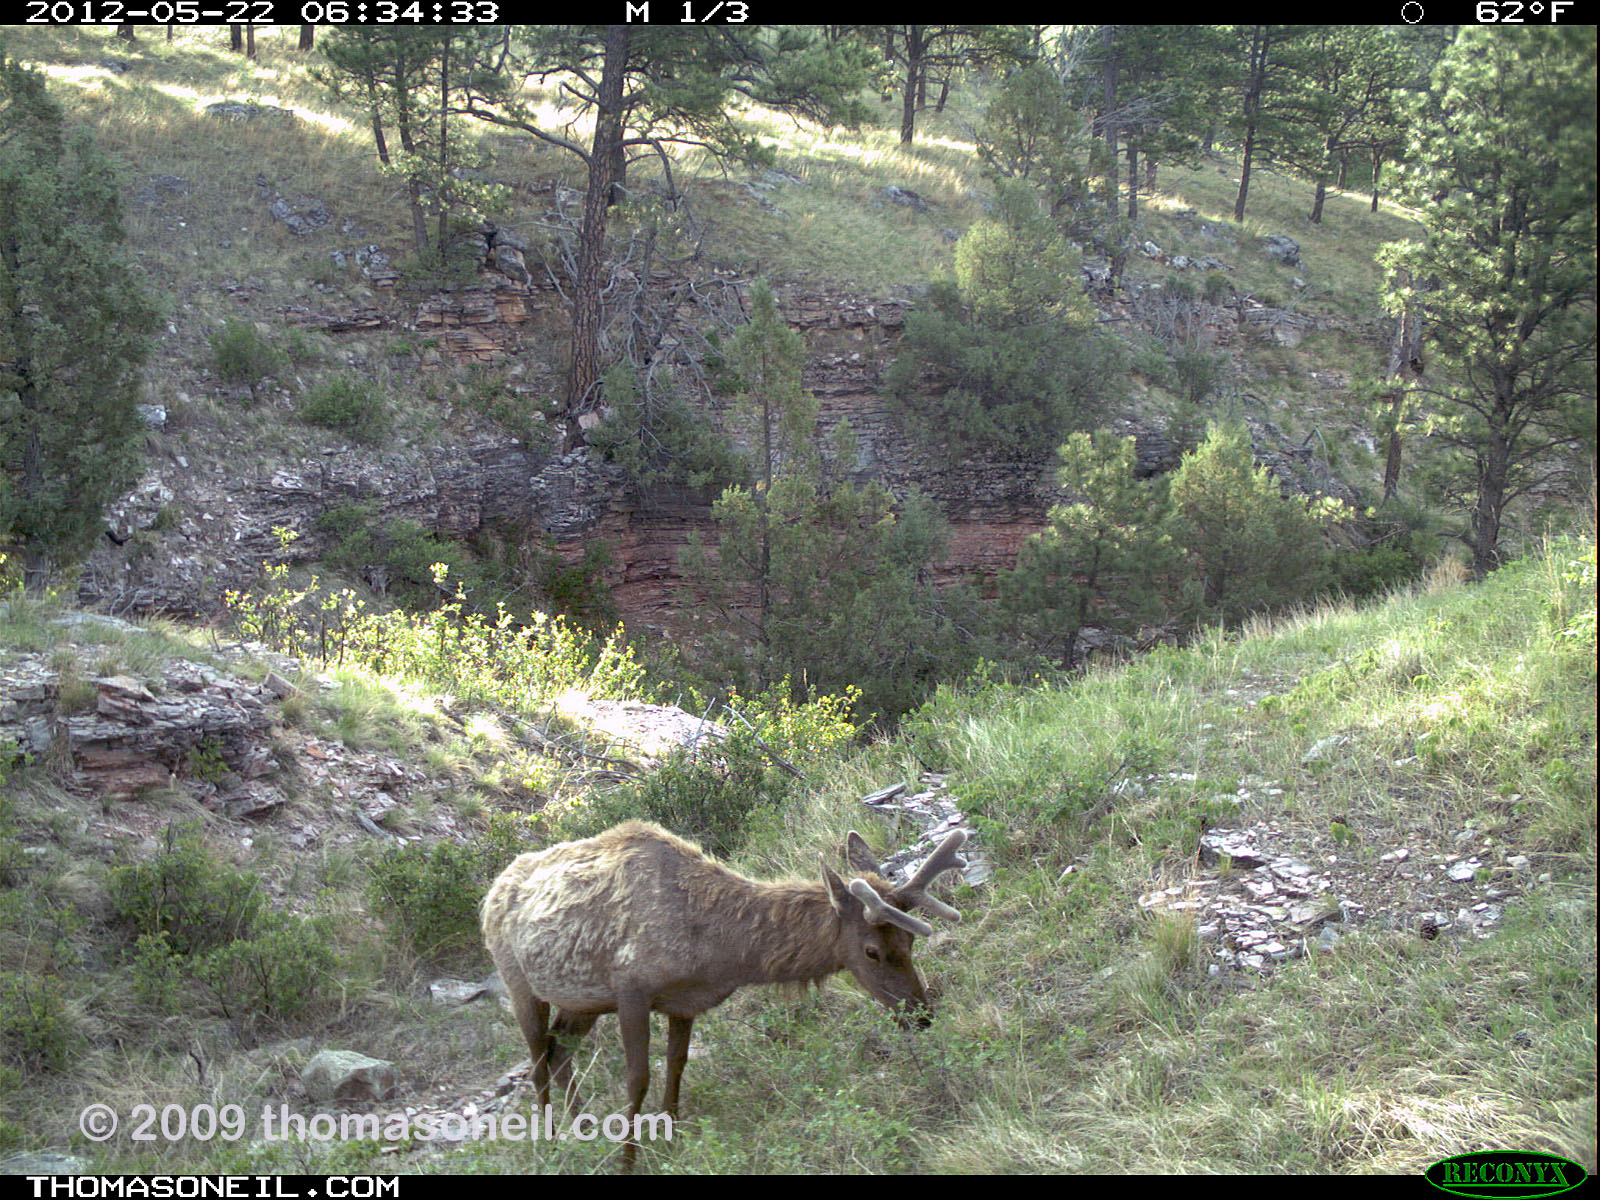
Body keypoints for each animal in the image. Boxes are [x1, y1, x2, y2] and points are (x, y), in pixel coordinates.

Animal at [480, 819, 968, 1168]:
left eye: (909, 942)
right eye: (871, 950)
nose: (921, 1014)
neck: (715, 951)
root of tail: (490, 891)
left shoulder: (683, 1003)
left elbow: (676, 1067)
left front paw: (671, 1140)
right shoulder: (631, 989)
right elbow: (637, 1078)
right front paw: (628, 1159)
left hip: (581, 1001)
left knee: (559, 1052)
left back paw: (585, 1131)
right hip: (518, 981)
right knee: (538, 1061)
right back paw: (552, 1145)